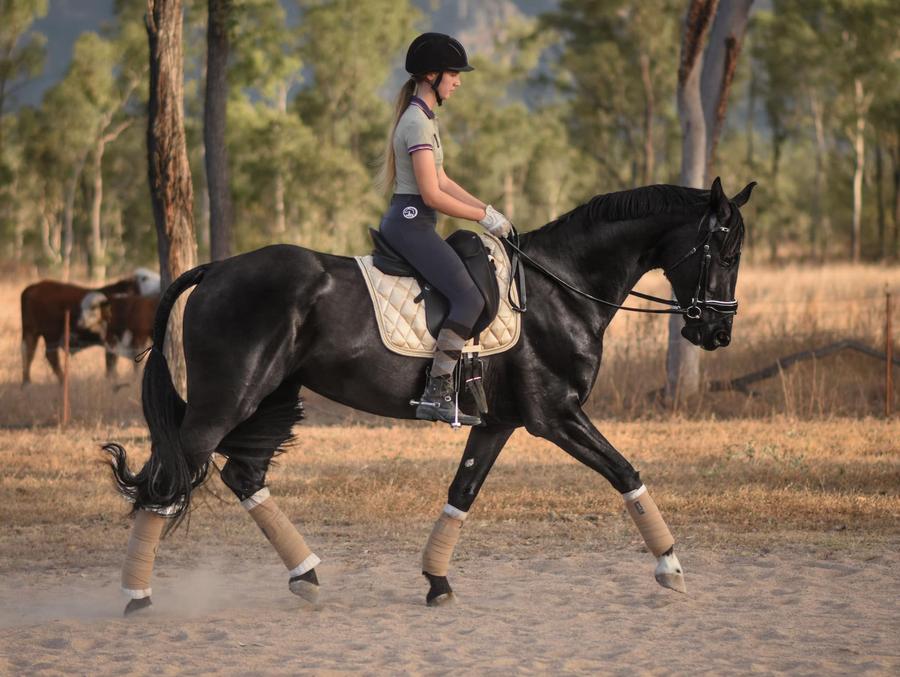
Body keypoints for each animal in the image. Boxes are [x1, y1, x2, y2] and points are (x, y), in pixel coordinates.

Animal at [107, 178, 752, 608]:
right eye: (724, 249)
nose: (718, 334)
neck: (561, 288)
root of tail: (214, 269)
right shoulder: (557, 415)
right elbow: (624, 471)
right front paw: (671, 567)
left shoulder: (501, 422)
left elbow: (462, 491)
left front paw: (437, 581)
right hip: (229, 399)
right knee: (168, 476)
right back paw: (136, 595)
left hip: (270, 399)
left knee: (242, 476)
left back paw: (305, 575)